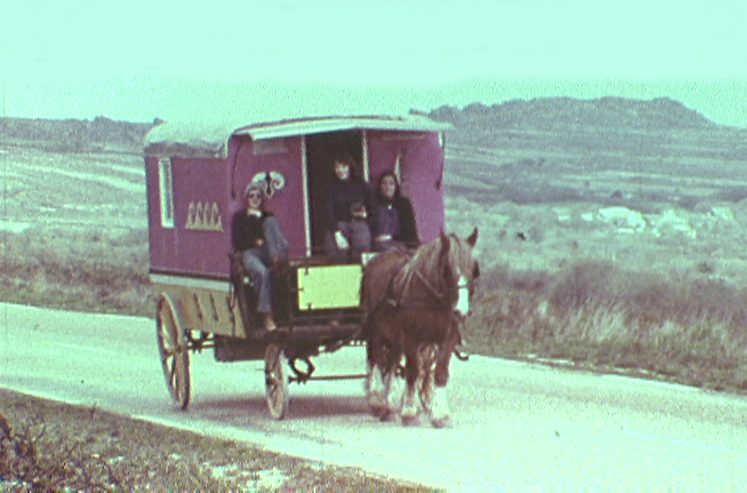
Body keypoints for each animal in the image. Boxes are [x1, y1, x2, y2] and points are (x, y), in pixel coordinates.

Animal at [360, 229, 480, 424]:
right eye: (447, 268)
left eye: (473, 268)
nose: (461, 311)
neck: (434, 299)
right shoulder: (411, 337)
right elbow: (414, 370)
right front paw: (409, 411)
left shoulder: (448, 337)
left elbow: (439, 371)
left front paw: (440, 413)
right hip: (375, 331)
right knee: (376, 359)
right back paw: (377, 400)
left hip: (394, 335)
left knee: (391, 363)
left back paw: (388, 404)